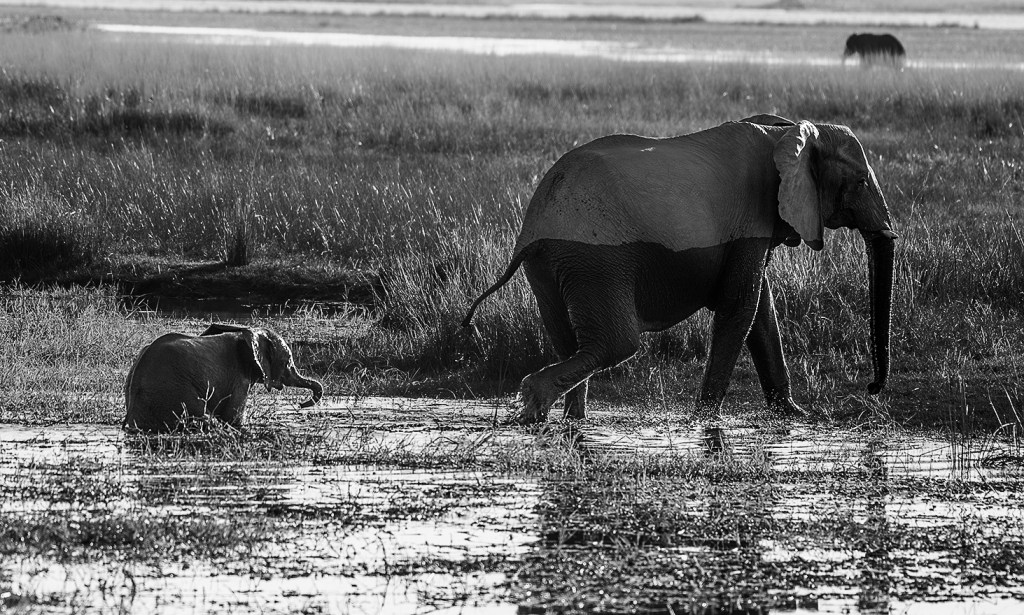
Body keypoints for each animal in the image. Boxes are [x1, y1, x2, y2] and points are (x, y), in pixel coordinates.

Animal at [123, 323, 324, 433]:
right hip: (174, 391)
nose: (300, 404)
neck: (248, 332)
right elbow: (233, 418)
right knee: (203, 419)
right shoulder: (239, 379)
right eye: (287, 361)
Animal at [462, 114, 896, 424]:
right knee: (617, 343)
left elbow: (760, 312)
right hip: (596, 260)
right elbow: (741, 307)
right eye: (860, 181)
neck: (785, 134)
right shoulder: (750, 220)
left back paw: (573, 418)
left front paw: (793, 416)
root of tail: (532, 224)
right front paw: (704, 420)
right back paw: (534, 408)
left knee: (568, 339)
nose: (873, 388)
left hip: (552, 264)